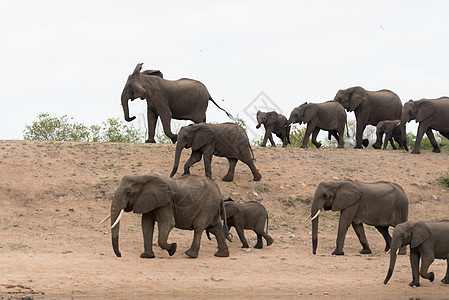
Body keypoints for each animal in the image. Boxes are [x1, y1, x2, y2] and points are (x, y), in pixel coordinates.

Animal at [101, 173, 229, 258]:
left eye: (129, 192)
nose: (120, 255)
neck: (143, 177)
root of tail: (219, 192)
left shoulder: (165, 202)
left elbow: (168, 223)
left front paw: (173, 248)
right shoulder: (148, 201)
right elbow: (146, 224)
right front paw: (146, 256)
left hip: (209, 204)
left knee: (199, 226)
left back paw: (190, 255)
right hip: (212, 207)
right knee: (215, 228)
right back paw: (221, 255)